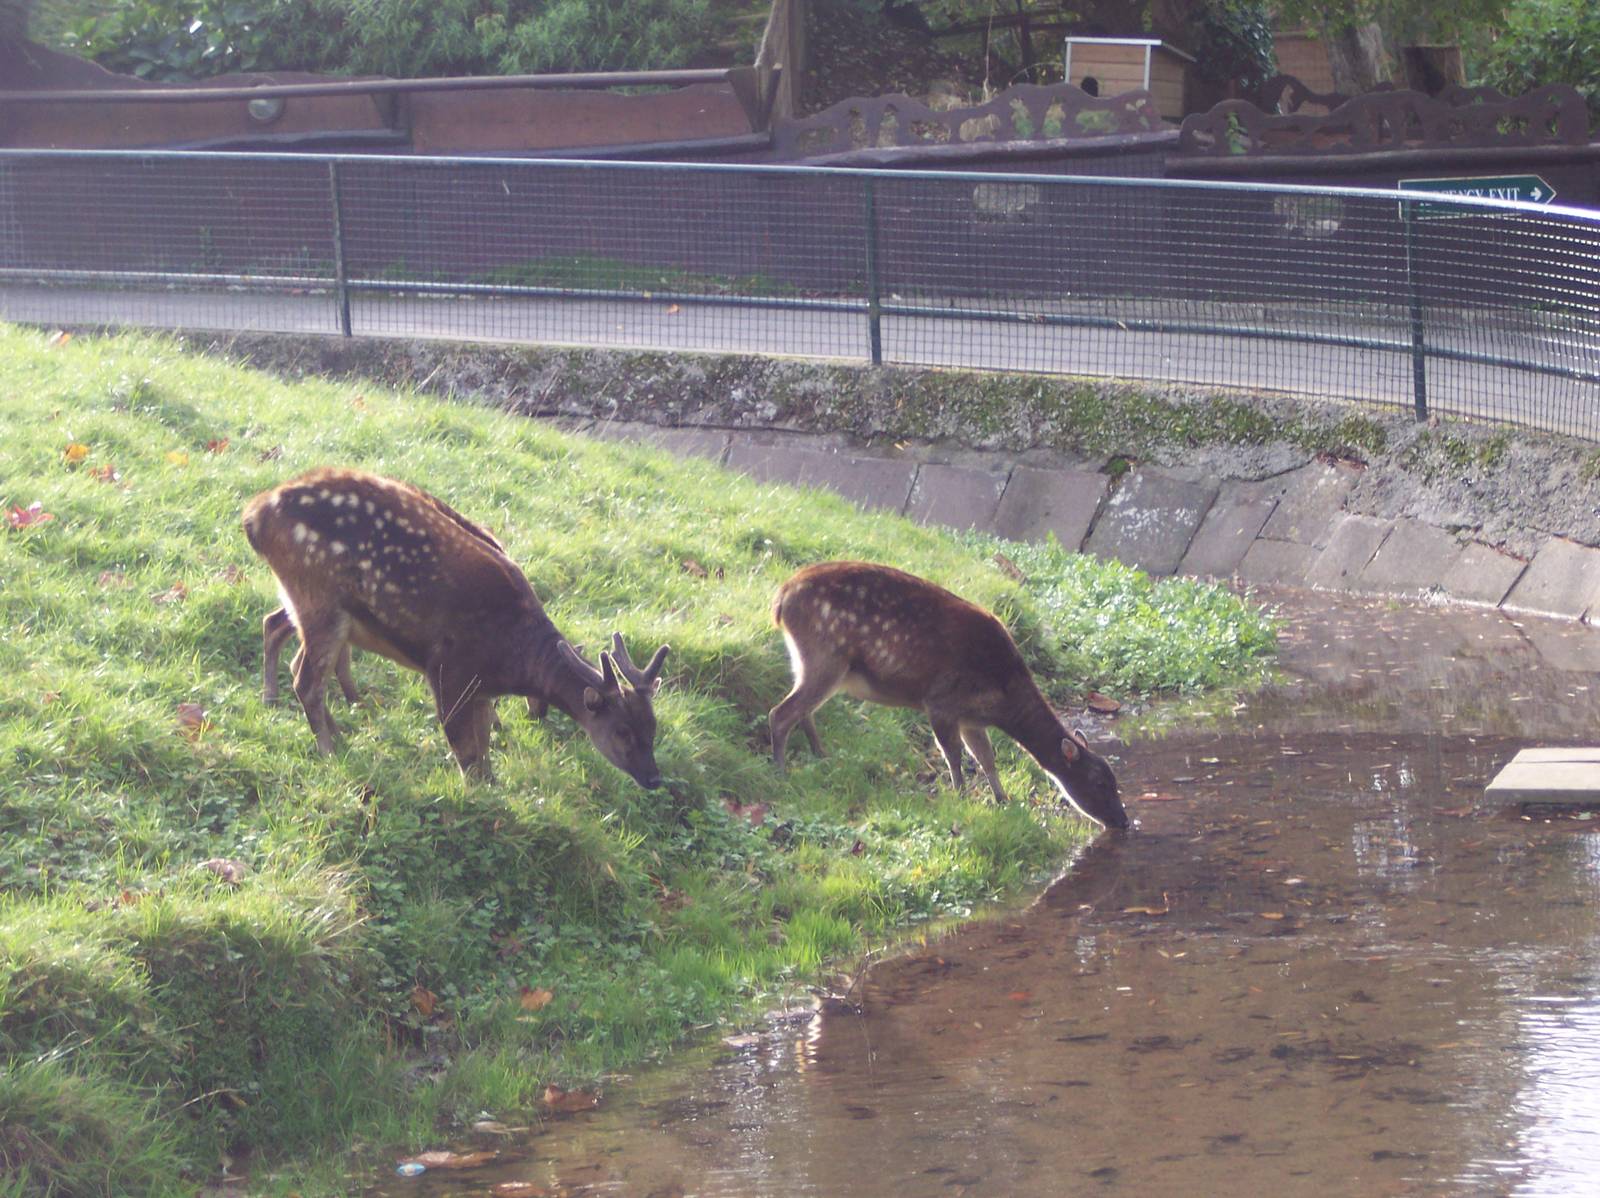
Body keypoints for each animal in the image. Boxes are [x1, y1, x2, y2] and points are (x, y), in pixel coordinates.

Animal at [243, 467, 669, 786]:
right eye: (622, 730)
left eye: (653, 726)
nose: (654, 778)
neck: (511, 658)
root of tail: (254, 515)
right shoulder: (449, 668)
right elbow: (466, 751)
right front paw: (478, 797)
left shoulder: (480, 688)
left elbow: (483, 745)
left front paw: (493, 782)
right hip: (319, 598)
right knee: (305, 679)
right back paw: (330, 751)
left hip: (317, 606)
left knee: (282, 637)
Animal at [768, 561, 1128, 830]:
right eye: (1099, 782)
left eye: (1115, 779)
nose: (1123, 821)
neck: (1003, 697)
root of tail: (781, 597)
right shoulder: (941, 701)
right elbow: (952, 754)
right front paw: (961, 797)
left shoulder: (971, 718)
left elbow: (986, 757)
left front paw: (1003, 799)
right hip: (825, 655)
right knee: (780, 713)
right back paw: (781, 773)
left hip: (813, 661)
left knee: (803, 710)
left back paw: (820, 757)